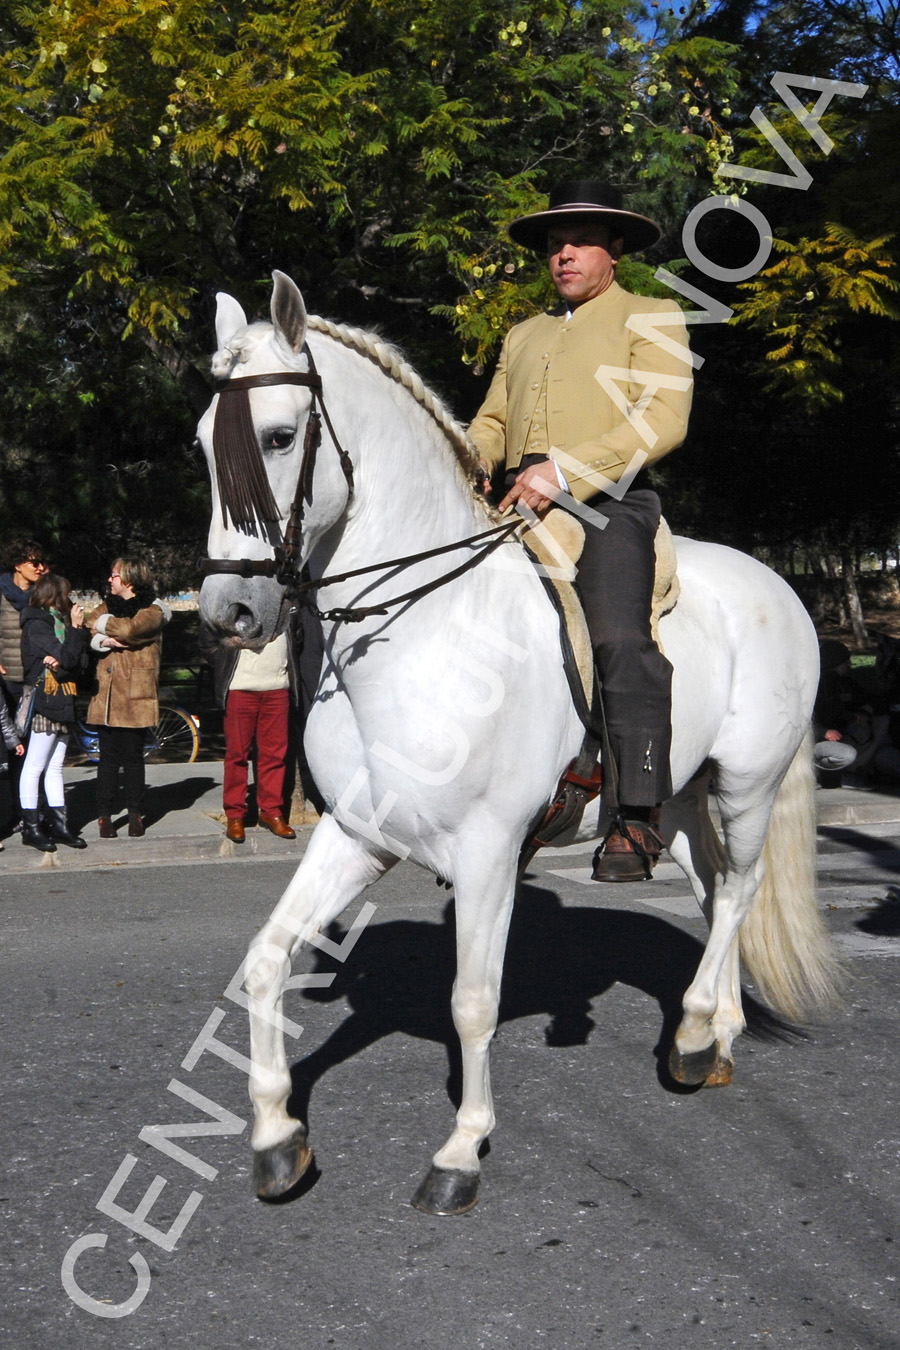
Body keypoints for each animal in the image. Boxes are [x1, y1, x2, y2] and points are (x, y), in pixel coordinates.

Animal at [201, 268, 841, 1209]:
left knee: (743, 889)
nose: (230, 613)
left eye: (280, 437)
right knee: (716, 889)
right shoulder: (356, 835)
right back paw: (713, 1033)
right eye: (205, 446)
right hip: (682, 795)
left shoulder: (489, 849)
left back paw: (693, 1035)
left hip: (748, 783)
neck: (422, 629)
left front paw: (461, 1151)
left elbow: (473, 998)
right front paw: (279, 1136)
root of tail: (777, 583)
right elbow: (267, 958)